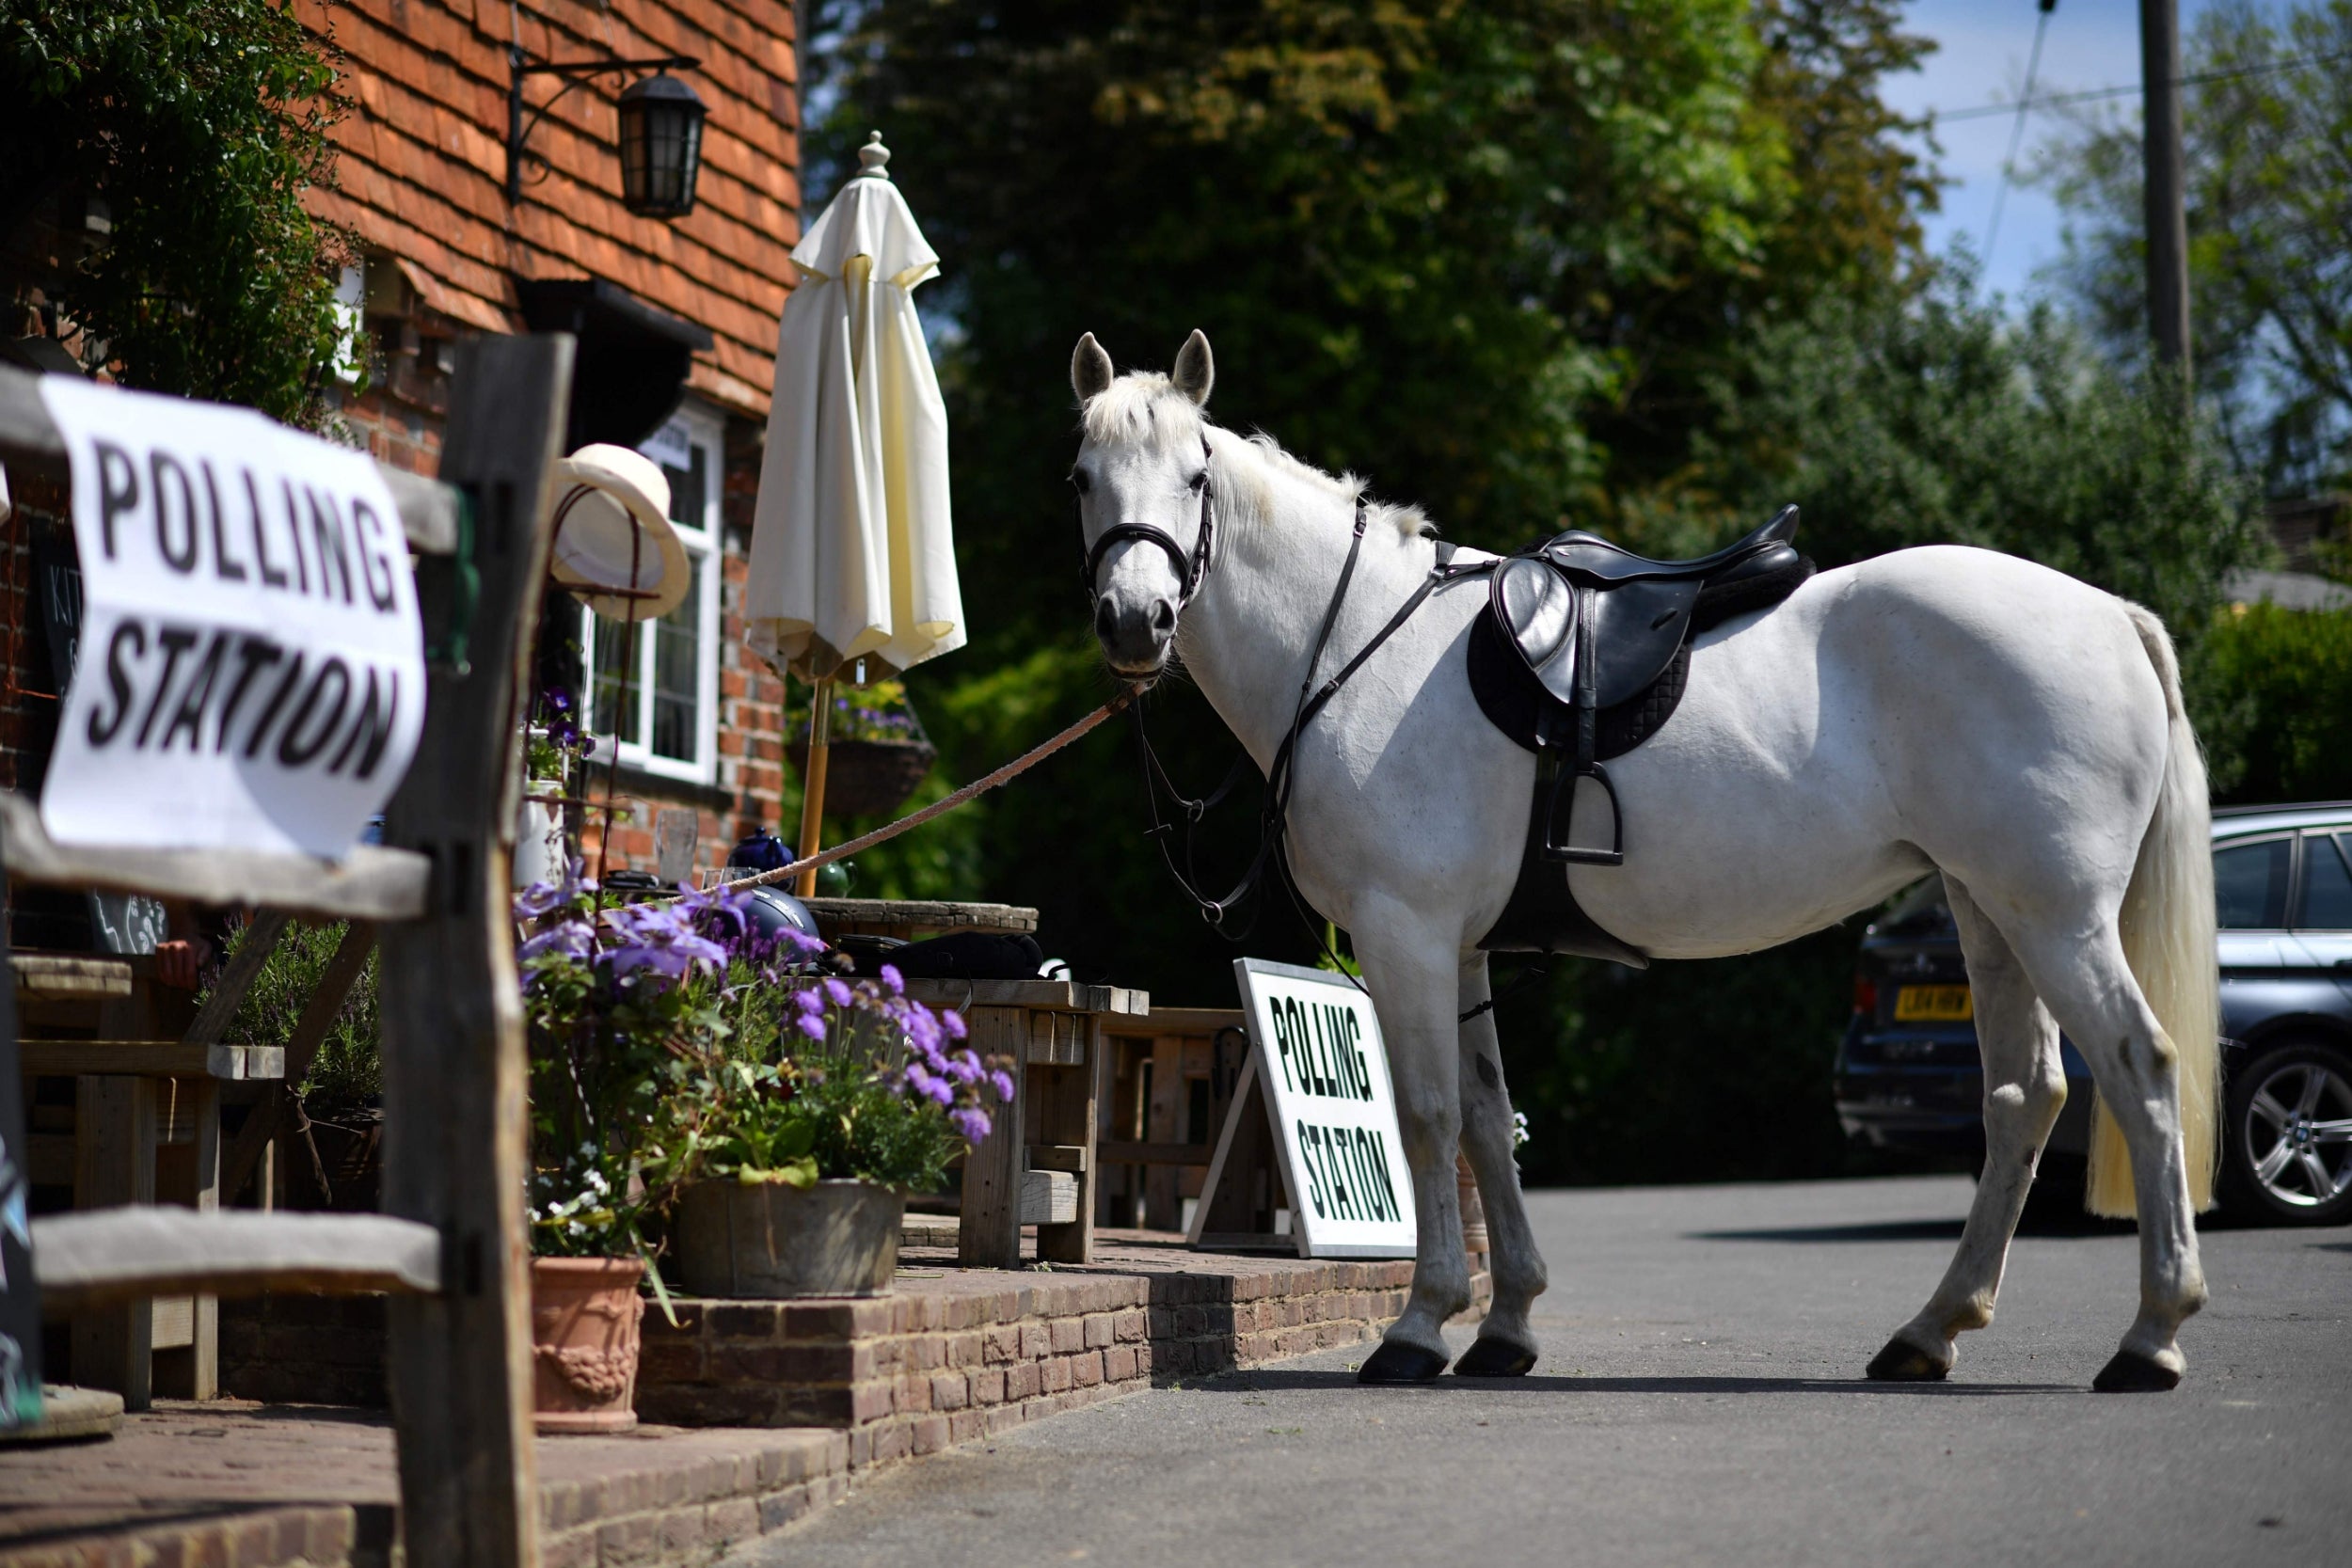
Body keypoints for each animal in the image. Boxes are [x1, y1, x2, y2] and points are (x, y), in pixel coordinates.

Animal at [1073, 333, 2220, 1401]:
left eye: (1195, 475)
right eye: (1082, 477)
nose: (1135, 622)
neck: (1356, 638)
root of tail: (2110, 615)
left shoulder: (1405, 934)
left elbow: (1429, 1118)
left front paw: (1420, 1326)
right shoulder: (1461, 948)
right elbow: (1486, 1120)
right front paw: (1506, 1325)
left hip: (2056, 917)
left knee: (2141, 1069)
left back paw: (2152, 1336)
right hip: (1989, 911)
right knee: (2024, 1096)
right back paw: (1930, 1330)